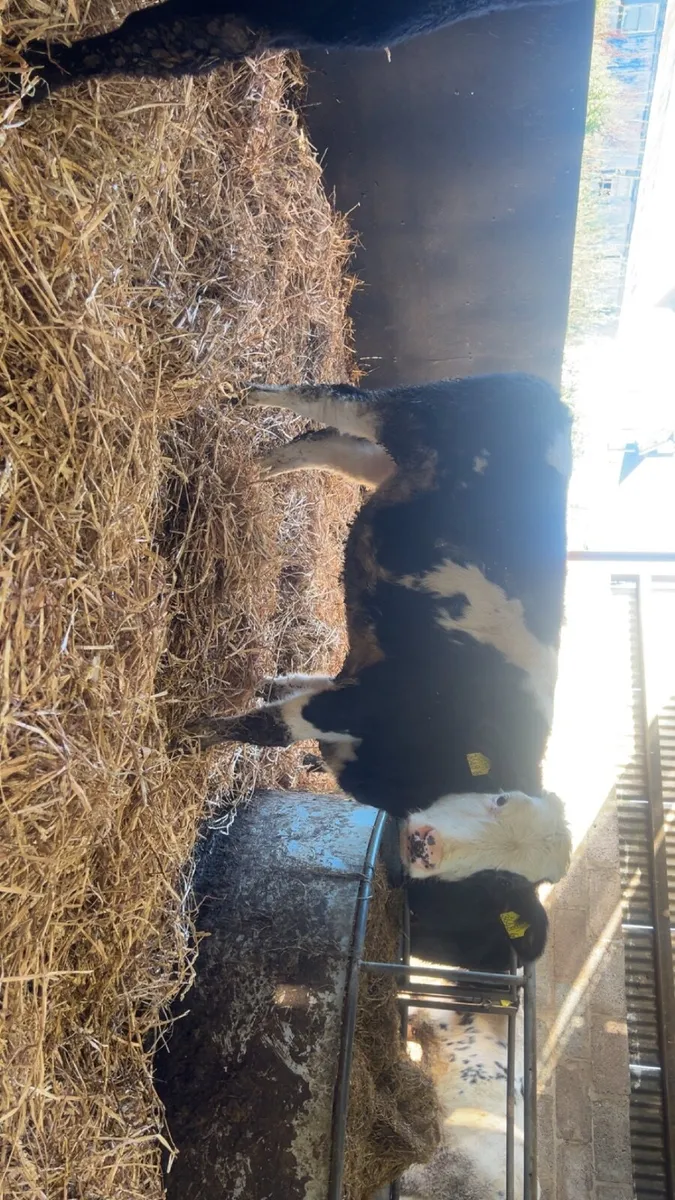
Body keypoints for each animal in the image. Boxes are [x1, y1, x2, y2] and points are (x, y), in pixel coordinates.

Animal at [182, 372, 573, 884]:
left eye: (500, 876)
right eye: (499, 798)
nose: (426, 846)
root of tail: (550, 397)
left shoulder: (354, 685)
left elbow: (296, 688)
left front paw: (262, 685)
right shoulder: (367, 700)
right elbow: (272, 728)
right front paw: (193, 734)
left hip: (396, 465)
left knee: (332, 446)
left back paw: (263, 464)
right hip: (416, 412)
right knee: (334, 399)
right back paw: (250, 396)